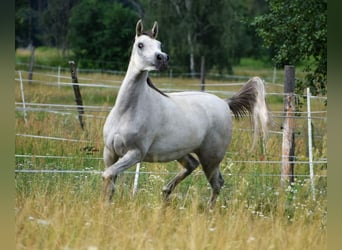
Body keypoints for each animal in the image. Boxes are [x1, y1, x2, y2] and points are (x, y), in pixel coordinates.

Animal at [101, 19, 270, 208]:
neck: (127, 111)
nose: (162, 58)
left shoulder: (135, 153)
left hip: (210, 158)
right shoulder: (110, 152)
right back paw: (166, 192)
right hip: (182, 152)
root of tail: (225, 103)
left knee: (217, 183)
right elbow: (110, 183)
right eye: (140, 44)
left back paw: (208, 210)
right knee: (192, 165)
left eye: (159, 44)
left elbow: (107, 175)